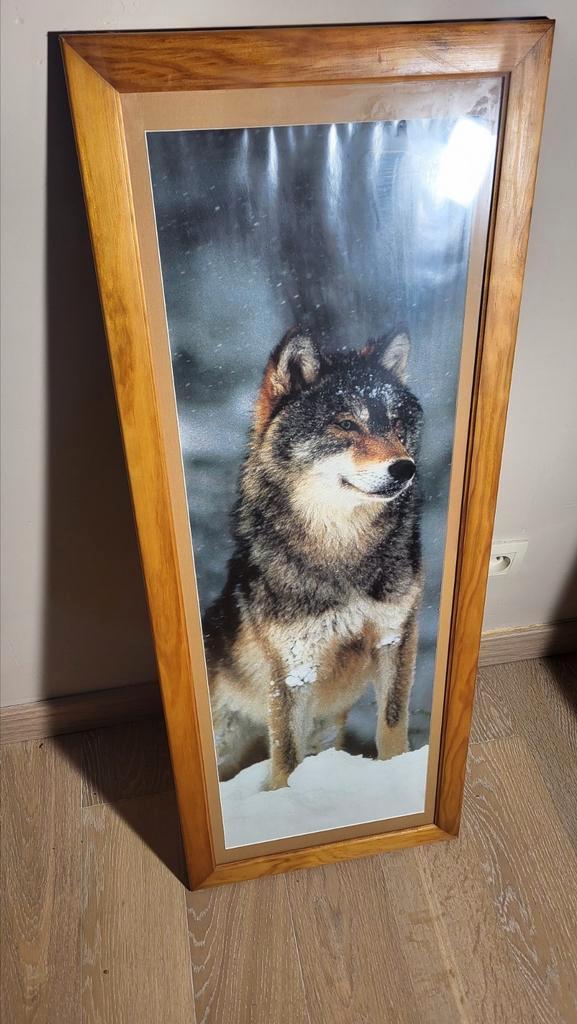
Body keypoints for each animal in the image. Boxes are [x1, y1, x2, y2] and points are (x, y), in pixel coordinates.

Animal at [203, 327, 423, 789]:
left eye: (396, 425)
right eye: (346, 423)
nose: (405, 468)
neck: (342, 551)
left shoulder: (396, 635)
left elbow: (392, 724)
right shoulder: (293, 667)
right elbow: (286, 758)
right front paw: (287, 798)